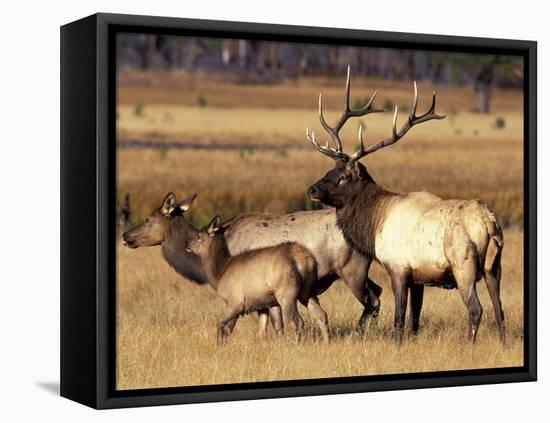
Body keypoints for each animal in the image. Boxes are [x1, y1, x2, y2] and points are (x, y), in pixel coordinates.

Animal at [188, 215, 330, 344]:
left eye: (198, 236)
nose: (187, 245)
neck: (219, 273)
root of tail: (307, 260)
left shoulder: (235, 301)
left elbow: (220, 323)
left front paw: (219, 345)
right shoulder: (265, 303)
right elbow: (267, 330)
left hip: (286, 293)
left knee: (297, 322)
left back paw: (296, 345)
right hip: (307, 291)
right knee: (321, 315)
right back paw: (326, 342)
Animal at [308, 65, 506, 344]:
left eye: (343, 176)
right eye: (330, 169)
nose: (312, 189)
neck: (374, 223)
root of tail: (489, 222)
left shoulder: (398, 268)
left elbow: (399, 318)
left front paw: (398, 345)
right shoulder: (418, 277)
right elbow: (415, 319)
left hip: (463, 264)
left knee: (476, 309)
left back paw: (471, 344)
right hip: (494, 266)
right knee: (500, 310)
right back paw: (504, 345)